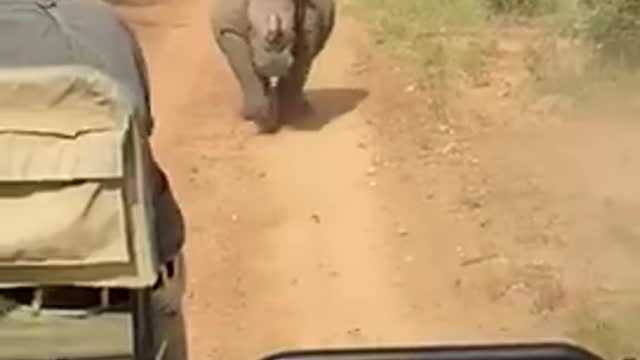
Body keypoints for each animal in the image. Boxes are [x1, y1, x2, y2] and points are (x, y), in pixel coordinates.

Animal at [210, 0, 336, 133]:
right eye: (250, 28)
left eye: (293, 30)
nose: (273, 65)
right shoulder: (229, 30)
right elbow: (247, 73)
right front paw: (262, 120)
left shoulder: (310, 28)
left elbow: (297, 70)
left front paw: (290, 118)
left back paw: (303, 110)